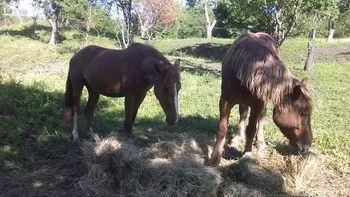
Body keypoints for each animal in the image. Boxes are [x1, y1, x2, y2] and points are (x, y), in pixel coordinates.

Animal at [206, 32, 314, 166]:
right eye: (303, 113)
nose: (307, 146)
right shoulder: (225, 101)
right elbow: (222, 129)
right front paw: (215, 158)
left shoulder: (258, 105)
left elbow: (251, 129)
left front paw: (247, 153)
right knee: (243, 113)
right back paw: (238, 138)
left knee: (261, 118)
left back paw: (260, 143)